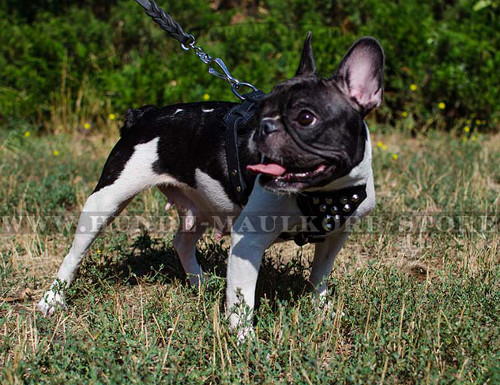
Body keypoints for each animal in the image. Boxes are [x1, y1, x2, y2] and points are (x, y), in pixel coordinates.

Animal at [38, 33, 382, 336]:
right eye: (262, 109)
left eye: (306, 117)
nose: (264, 127)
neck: (321, 195)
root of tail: (146, 115)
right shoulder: (249, 240)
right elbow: (242, 298)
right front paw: (244, 340)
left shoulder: (336, 235)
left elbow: (320, 274)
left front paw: (321, 309)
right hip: (107, 199)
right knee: (75, 253)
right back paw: (53, 299)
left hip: (201, 204)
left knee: (183, 241)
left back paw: (199, 283)